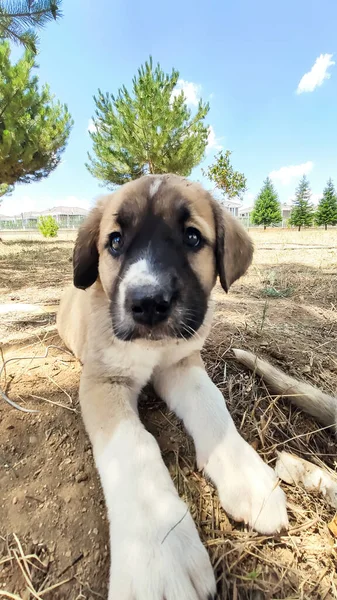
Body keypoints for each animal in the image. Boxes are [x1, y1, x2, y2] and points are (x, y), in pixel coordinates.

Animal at [56, 175, 288, 600]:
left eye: (192, 237)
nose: (148, 303)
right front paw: (158, 550)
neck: (153, 349)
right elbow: (133, 446)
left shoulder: (182, 363)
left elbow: (213, 406)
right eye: (115, 241)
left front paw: (246, 473)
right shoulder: (103, 380)